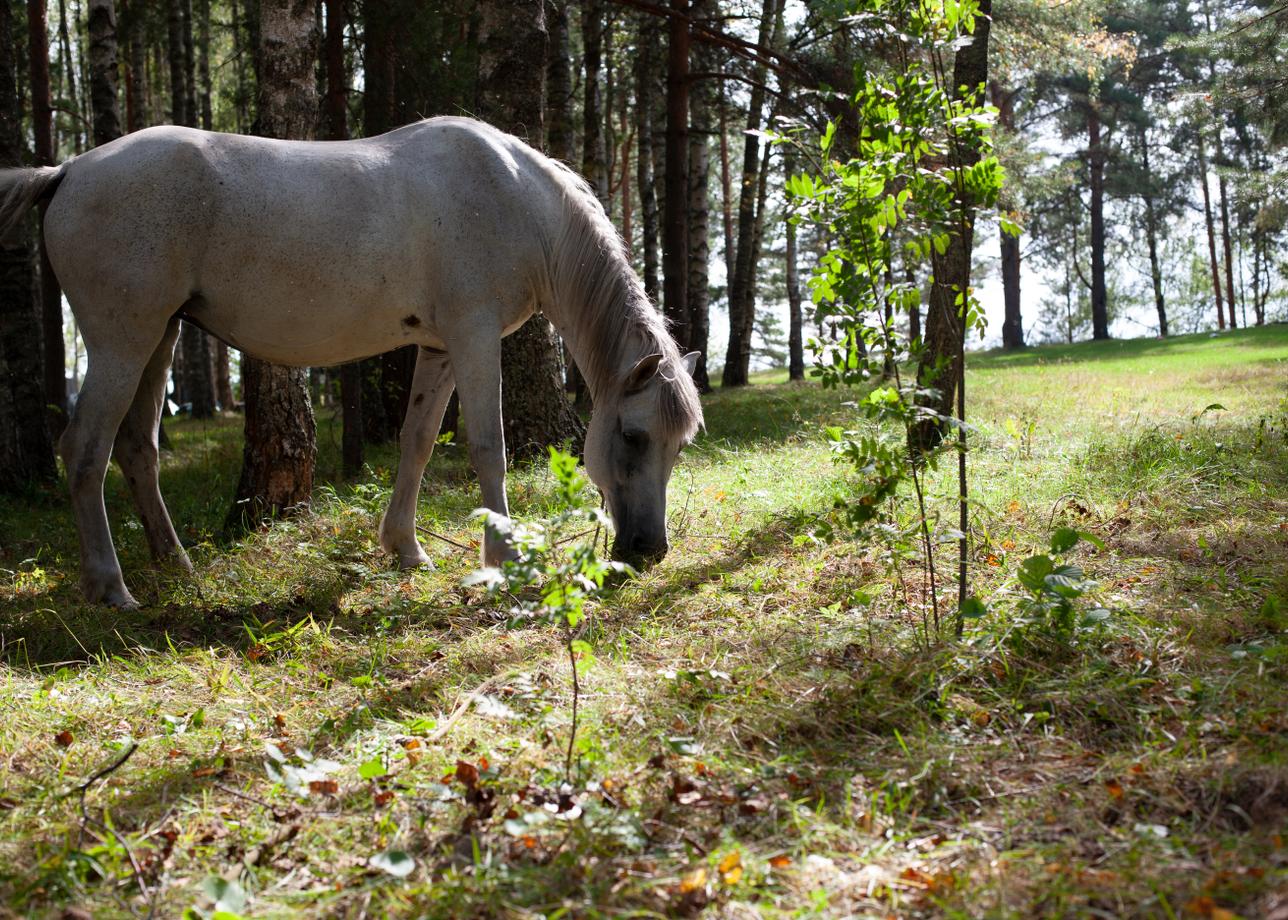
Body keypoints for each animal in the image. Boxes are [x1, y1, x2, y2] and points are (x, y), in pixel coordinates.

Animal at [0, 116, 703, 609]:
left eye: (679, 446)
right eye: (633, 436)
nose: (650, 551)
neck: (514, 199)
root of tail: (68, 170)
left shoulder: (439, 347)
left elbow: (418, 441)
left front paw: (406, 549)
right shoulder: (474, 336)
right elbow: (487, 447)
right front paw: (501, 561)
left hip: (160, 338)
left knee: (136, 448)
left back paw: (175, 564)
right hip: (123, 341)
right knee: (84, 449)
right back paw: (111, 587)